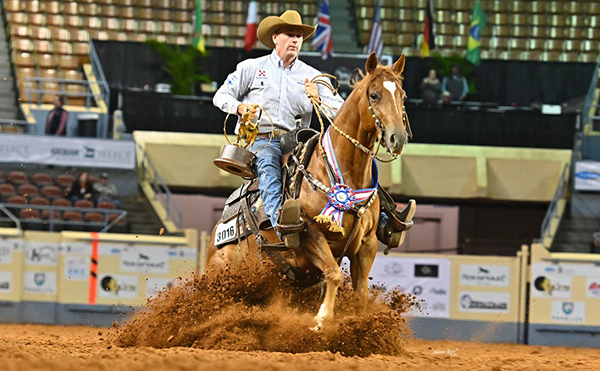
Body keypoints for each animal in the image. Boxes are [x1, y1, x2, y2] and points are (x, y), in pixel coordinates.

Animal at [209, 53, 410, 332]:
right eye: (374, 95)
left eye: (402, 95)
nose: (397, 138)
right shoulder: (312, 235)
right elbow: (333, 274)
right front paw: (322, 320)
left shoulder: (366, 244)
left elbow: (361, 292)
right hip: (221, 276)